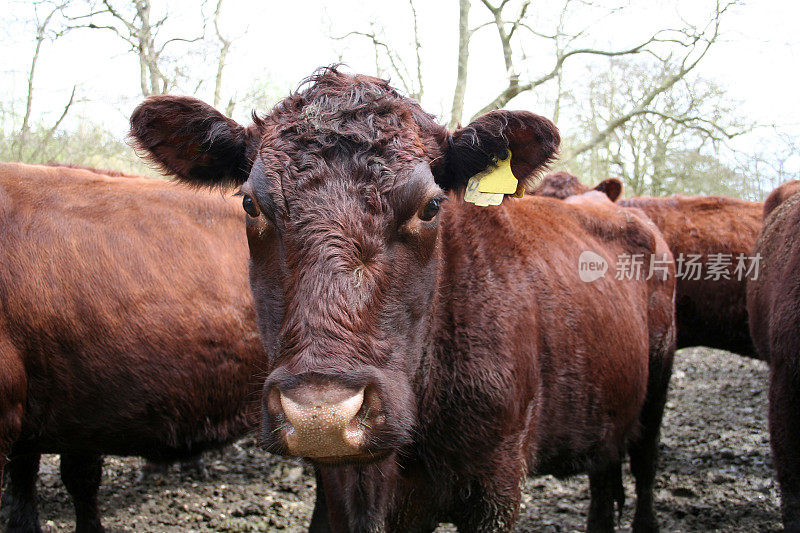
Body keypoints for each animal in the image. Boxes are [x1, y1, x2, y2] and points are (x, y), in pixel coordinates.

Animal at [130, 67, 676, 532]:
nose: (323, 415)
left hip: (658, 379)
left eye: (431, 206)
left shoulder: (498, 480)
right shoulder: (342, 487)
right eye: (250, 203)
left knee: (645, 462)